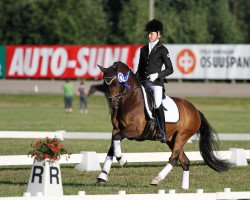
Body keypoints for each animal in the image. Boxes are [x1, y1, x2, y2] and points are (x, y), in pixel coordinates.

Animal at [95, 61, 230, 189]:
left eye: (117, 83)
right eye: (104, 85)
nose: (113, 106)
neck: (130, 101)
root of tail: (195, 110)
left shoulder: (136, 130)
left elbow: (117, 138)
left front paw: (121, 160)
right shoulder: (116, 129)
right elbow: (112, 146)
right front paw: (102, 176)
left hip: (182, 136)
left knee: (174, 159)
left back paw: (157, 179)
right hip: (171, 139)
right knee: (185, 161)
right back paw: (184, 188)